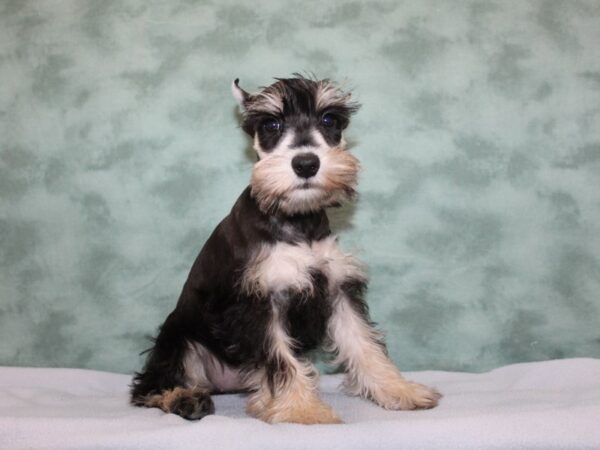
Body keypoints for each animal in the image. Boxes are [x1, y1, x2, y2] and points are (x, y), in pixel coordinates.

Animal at [131, 75, 440, 424]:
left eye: (329, 120)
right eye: (271, 124)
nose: (306, 163)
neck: (298, 220)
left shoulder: (337, 289)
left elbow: (364, 343)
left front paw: (400, 389)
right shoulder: (259, 301)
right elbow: (280, 360)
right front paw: (303, 410)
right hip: (178, 341)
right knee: (150, 386)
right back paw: (185, 399)